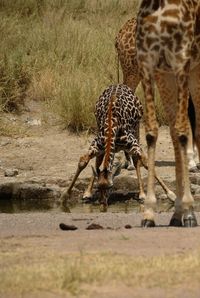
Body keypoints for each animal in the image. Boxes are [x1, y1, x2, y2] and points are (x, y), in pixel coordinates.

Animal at [136, 0, 200, 226]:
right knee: (173, 132)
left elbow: (182, 131)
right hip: (169, 77)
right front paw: (149, 212)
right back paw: (176, 213)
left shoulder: (181, 62)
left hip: (195, 72)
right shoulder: (149, 64)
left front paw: (189, 209)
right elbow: (152, 133)